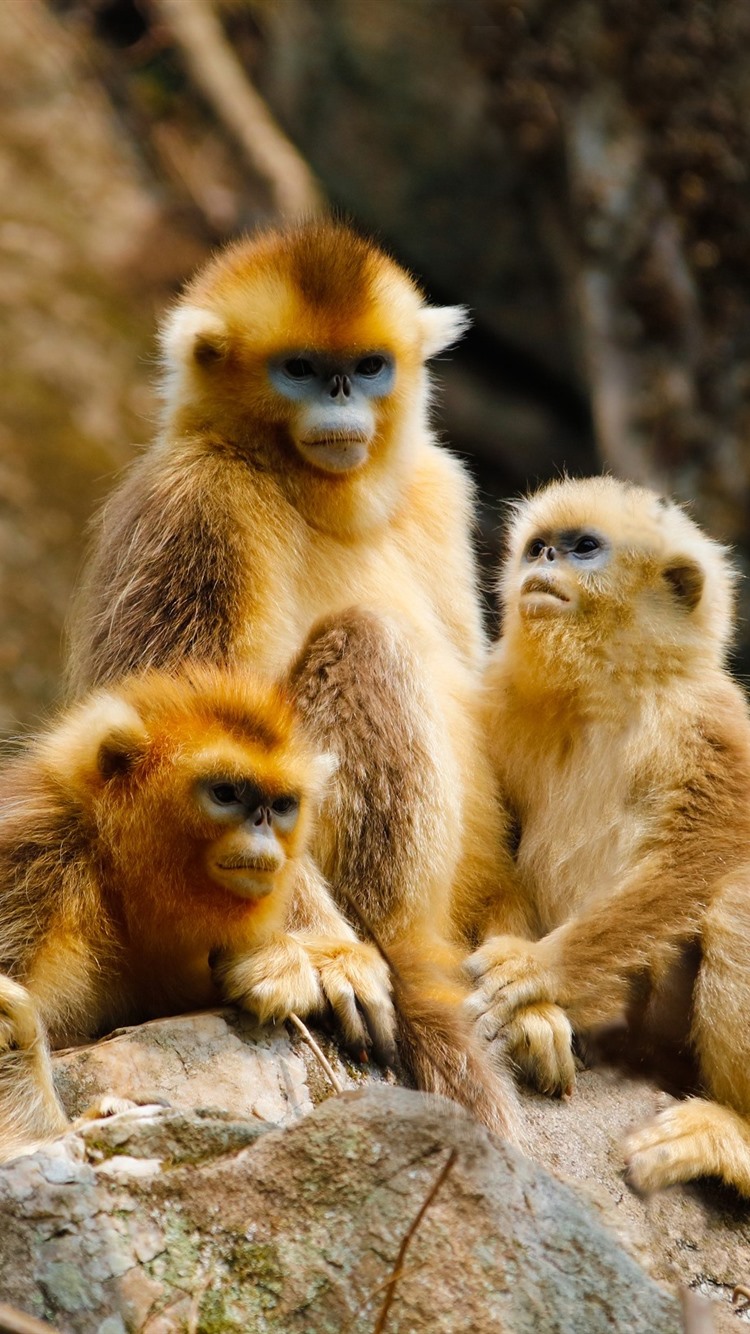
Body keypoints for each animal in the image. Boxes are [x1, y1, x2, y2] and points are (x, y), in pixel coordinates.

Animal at [0, 663, 396, 1159]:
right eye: (225, 793)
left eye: (282, 805)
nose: (262, 827)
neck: (108, 865)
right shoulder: (34, 859)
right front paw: (48, 1136)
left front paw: (319, 960)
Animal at [64, 219, 524, 1142]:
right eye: (303, 369)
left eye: (369, 365)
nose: (343, 394)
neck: (312, 491)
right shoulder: (196, 504)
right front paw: (321, 955)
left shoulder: (440, 487)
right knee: (369, 640)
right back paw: (402, 964)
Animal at [466, 472, 750, 1194]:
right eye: (540, 547)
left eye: (584, 548)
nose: (544, 561)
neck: (604, 694)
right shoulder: (495, 704)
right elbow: (495, 859)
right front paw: (536, 1013)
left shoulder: (706, 714)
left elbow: (710, 849)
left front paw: (537, 971)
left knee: (736, 900)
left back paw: (733, 1135)